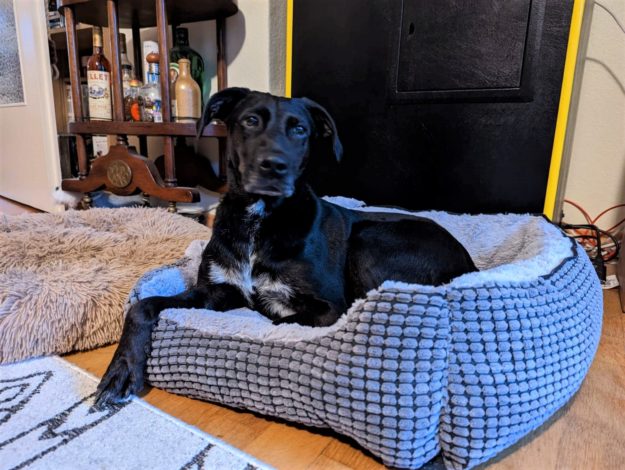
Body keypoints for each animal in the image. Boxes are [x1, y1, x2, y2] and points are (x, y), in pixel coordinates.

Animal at [95, 88, 477, 406]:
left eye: (300, 130)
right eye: (250, 120)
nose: (274, 166)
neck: (260, 217)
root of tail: (470, 265)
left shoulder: (330, 307)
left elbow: (278, 317)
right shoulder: (214, 290)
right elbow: (142, 306)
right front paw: (122, 369)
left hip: (370, 239)